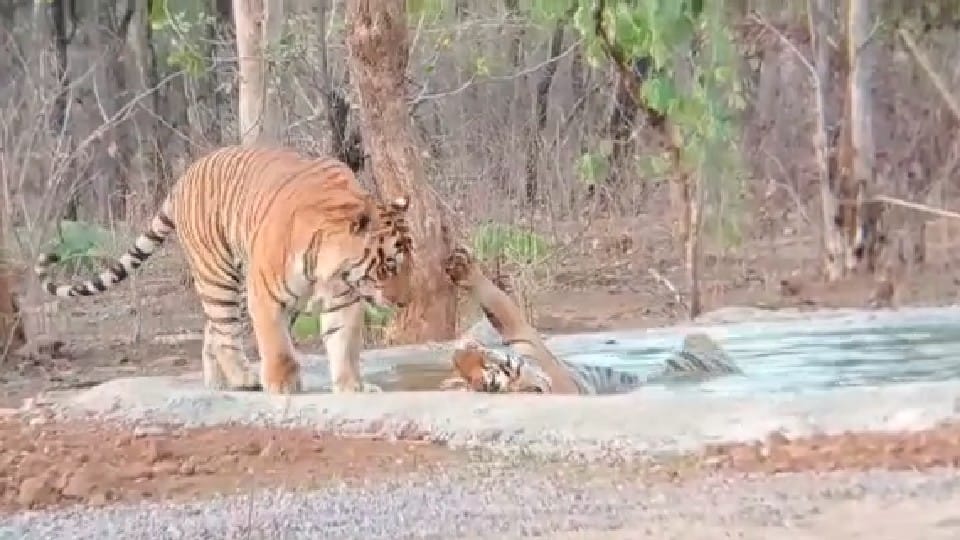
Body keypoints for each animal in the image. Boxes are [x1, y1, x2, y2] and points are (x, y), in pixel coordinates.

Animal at [34, 145, 414, 395]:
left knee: (213, 330)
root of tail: (185, 176)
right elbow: (276, 344)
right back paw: (243, 378)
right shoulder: (266, 293)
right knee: (225, 331)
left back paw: (218, 382)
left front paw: (353, 387)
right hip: (220, 275)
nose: (404, 302)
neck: (333, 270)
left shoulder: (344, 298)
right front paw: (282, 384)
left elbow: (343, 344)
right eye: (389, 265)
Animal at [440, 247, 740, 395]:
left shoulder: (525, 339)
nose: (459, 355)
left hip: (698, 341)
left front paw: (462, 268)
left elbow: (498, 302)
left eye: (483, 368)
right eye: (483, 382)